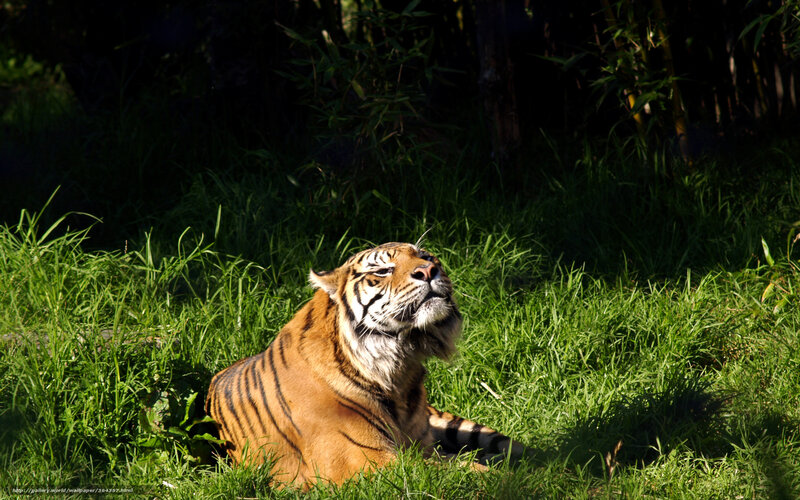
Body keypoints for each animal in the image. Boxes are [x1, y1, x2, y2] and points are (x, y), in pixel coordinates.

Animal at [205, 242, 527, 488]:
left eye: (425, 255)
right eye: (382, 271)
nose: (428, 270)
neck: (399, 370)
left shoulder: (421, 445)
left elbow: (462, 462)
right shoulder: (370, 462)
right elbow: (464, 471)